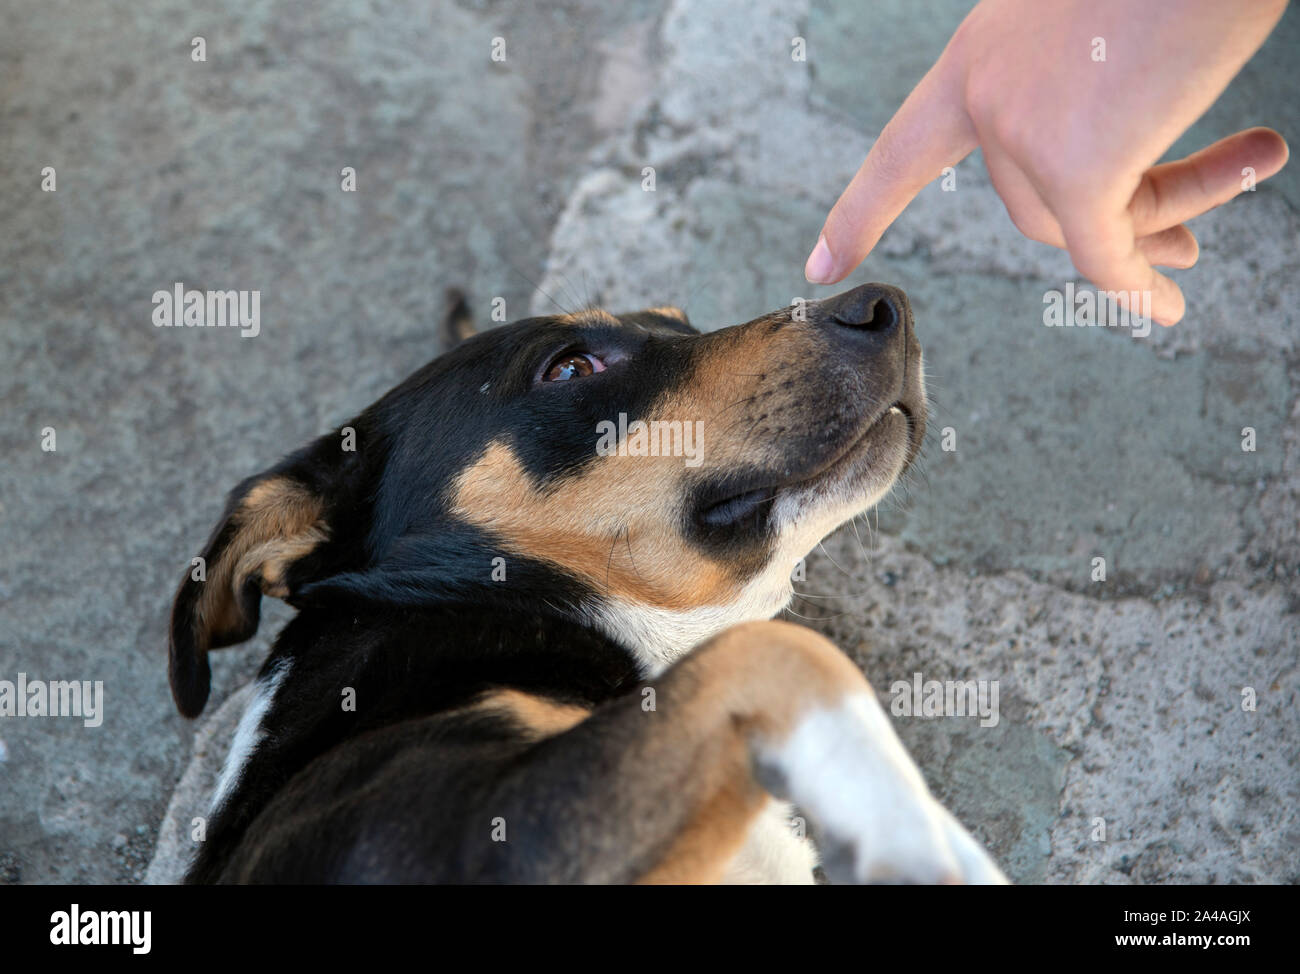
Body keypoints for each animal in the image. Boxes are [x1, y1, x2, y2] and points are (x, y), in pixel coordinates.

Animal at [167, 280, 1008, 879]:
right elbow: (784, 654)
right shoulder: (498, 839)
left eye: (682, 321)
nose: (888, 306)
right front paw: (917, 843)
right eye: (570, 365)